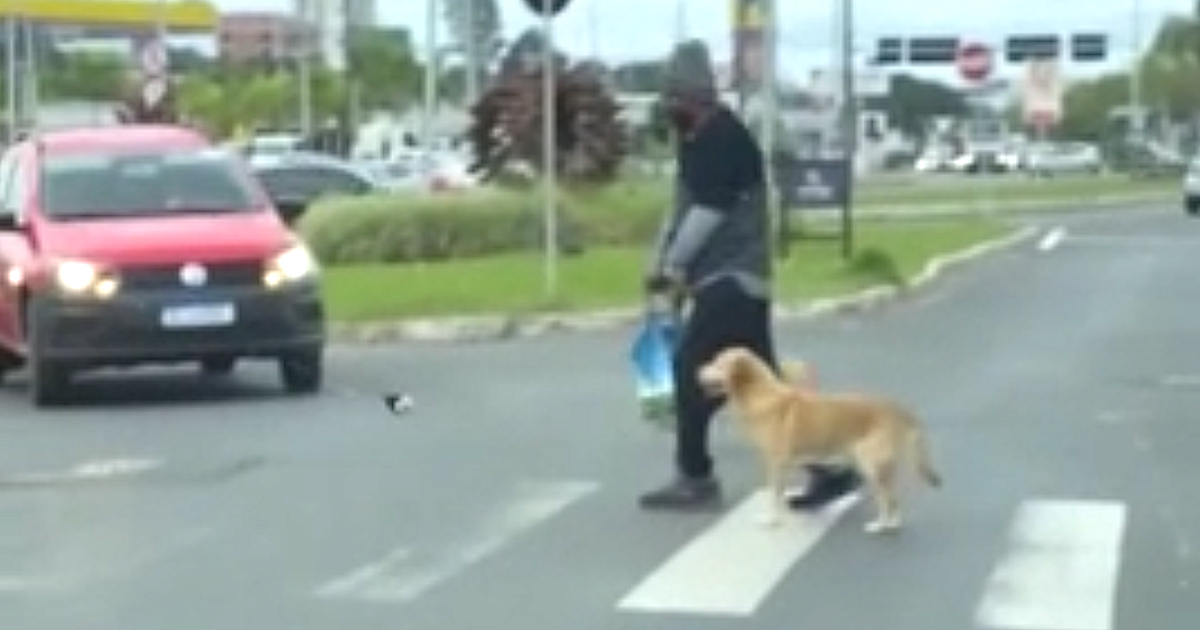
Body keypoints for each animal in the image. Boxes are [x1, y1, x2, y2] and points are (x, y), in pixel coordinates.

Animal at [700, 345, 940, 532]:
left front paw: (772, 520)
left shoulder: (775, 463)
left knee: (888, 499)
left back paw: (882, 525)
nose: (697, 371)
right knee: (893, 497)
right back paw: (891, 522)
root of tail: (898, 409)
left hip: (871, 464)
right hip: (878, 465)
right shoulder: (782, 464)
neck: (761, 393)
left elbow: (773, 496)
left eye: (717, 363)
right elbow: (778, 494)